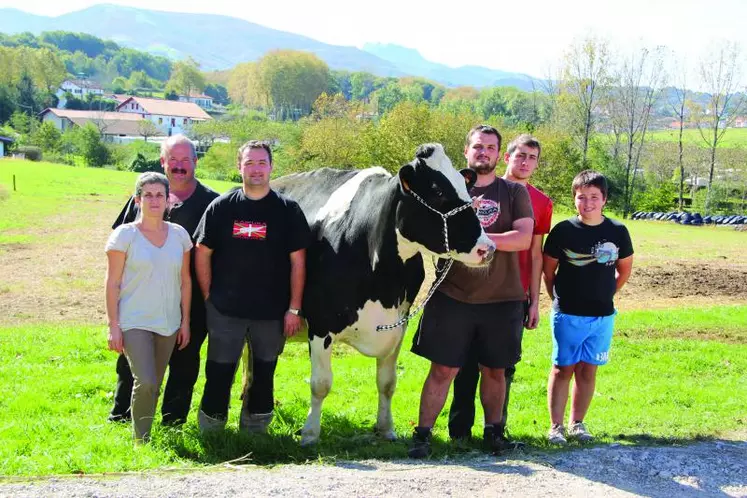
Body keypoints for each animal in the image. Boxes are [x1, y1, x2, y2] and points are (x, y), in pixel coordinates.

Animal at [268, 142, 496, 446]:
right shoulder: (320, 325)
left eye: (465, 187)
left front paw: (386, 429)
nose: (487, 248)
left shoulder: (398, 325)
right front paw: (310, 434)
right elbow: (320, 384)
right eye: (437, 191)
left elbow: (387, 383)